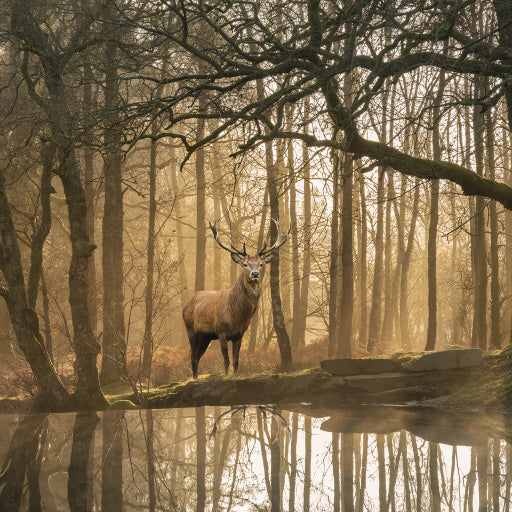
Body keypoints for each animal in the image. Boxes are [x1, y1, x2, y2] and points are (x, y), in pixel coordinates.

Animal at [183, 218, 288, 378]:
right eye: (245, 264)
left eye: (261, 264)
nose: (255, 273)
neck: (237, 316)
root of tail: (185, 306)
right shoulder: (221, 332)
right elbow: (226, 361)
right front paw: (226, 375)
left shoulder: (239, 335)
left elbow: (236, 361)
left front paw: (236, 375)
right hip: (191, 330)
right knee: (193, 357)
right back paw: (194, 379)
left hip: (206, 337)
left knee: (197, 356)